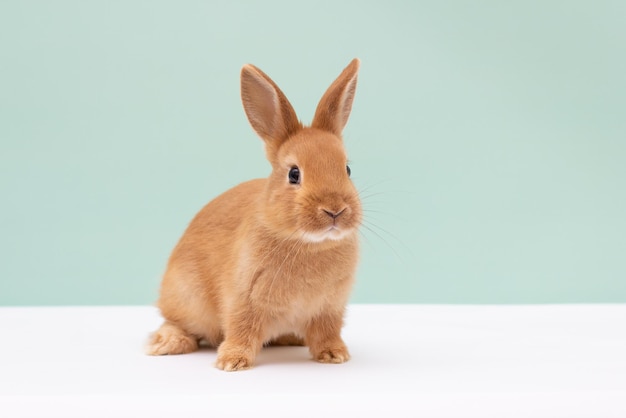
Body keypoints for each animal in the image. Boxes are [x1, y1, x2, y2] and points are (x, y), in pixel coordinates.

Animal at [146, 58, 360, 372]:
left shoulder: (329, 309)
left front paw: (334, 355)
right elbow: (241, 328)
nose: (335, 210)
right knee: (179, 323)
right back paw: (166, 343)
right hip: (186, 297)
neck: (308, 244)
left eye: (347, 169)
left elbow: (327, 332)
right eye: (294, 174)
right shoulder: (243, 298)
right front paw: (231, 362)